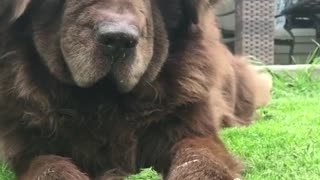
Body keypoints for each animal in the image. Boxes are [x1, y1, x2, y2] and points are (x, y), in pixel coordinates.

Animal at [0, 0, 270, 179]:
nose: (118, 38)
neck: (105, 101)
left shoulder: (191, 127)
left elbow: (199, 156)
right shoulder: (28, 143)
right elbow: (49, 165)